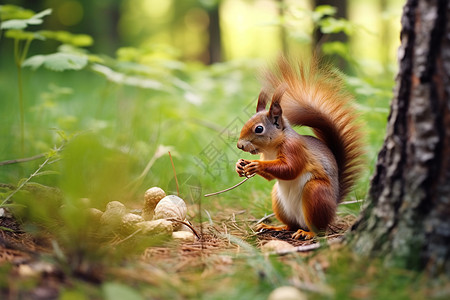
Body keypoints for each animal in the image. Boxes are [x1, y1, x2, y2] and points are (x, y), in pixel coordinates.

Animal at [236, 56, 366, 239]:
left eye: (259, 129)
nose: (239, 145)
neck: (271, 149)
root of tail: (334, 203)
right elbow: (271, 177)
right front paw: (240, 165)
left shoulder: (294, 149)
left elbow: (290, 169)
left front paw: (256, 165)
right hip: (279, 200)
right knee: (290, 225)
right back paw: (276, 227)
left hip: (316, 193)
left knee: (319, 228)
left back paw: (308, 233)